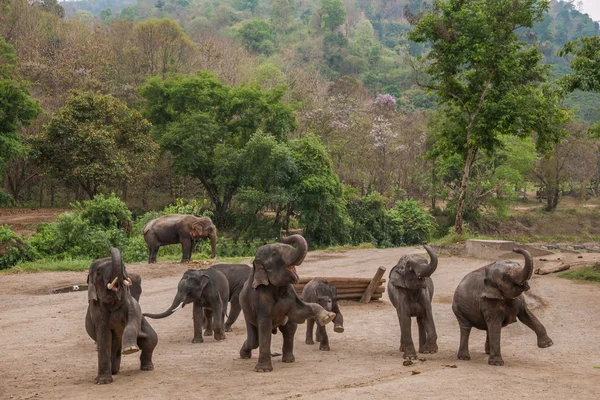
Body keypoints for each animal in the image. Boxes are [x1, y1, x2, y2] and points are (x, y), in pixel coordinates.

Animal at [86, 248, 159, 382]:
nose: (110, 248)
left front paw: (130, 350)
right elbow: (103, 337)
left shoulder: (131, 304)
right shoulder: (97, 312)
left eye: (124, 267)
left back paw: (147, 368)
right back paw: (113, 370)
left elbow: (132, 322)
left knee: (151, 339)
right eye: (98, 273)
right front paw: (103, 382)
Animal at [238, 234, 338, 372]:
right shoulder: (259, 298)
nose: (284, 234)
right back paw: (244, 355)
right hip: (246, 312)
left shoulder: (291, 292)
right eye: (274, 253)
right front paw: (263, 370)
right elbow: (264, 326)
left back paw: (289, 360)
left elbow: (299, 312)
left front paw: (328, 316)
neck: (277, 289)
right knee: (254, 340)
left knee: (289, 329)